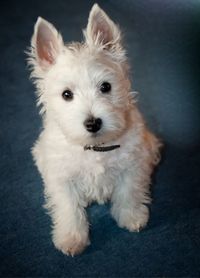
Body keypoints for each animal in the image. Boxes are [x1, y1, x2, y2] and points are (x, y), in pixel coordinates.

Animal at [27, 3, 161, 256]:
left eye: (106, 86)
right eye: (66, 94)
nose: (93, 123)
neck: (94, 147)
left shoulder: (132, 166)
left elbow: (129, 192)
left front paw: (132, 217)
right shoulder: (62, 178)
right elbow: (69, 208)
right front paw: (71, 239)